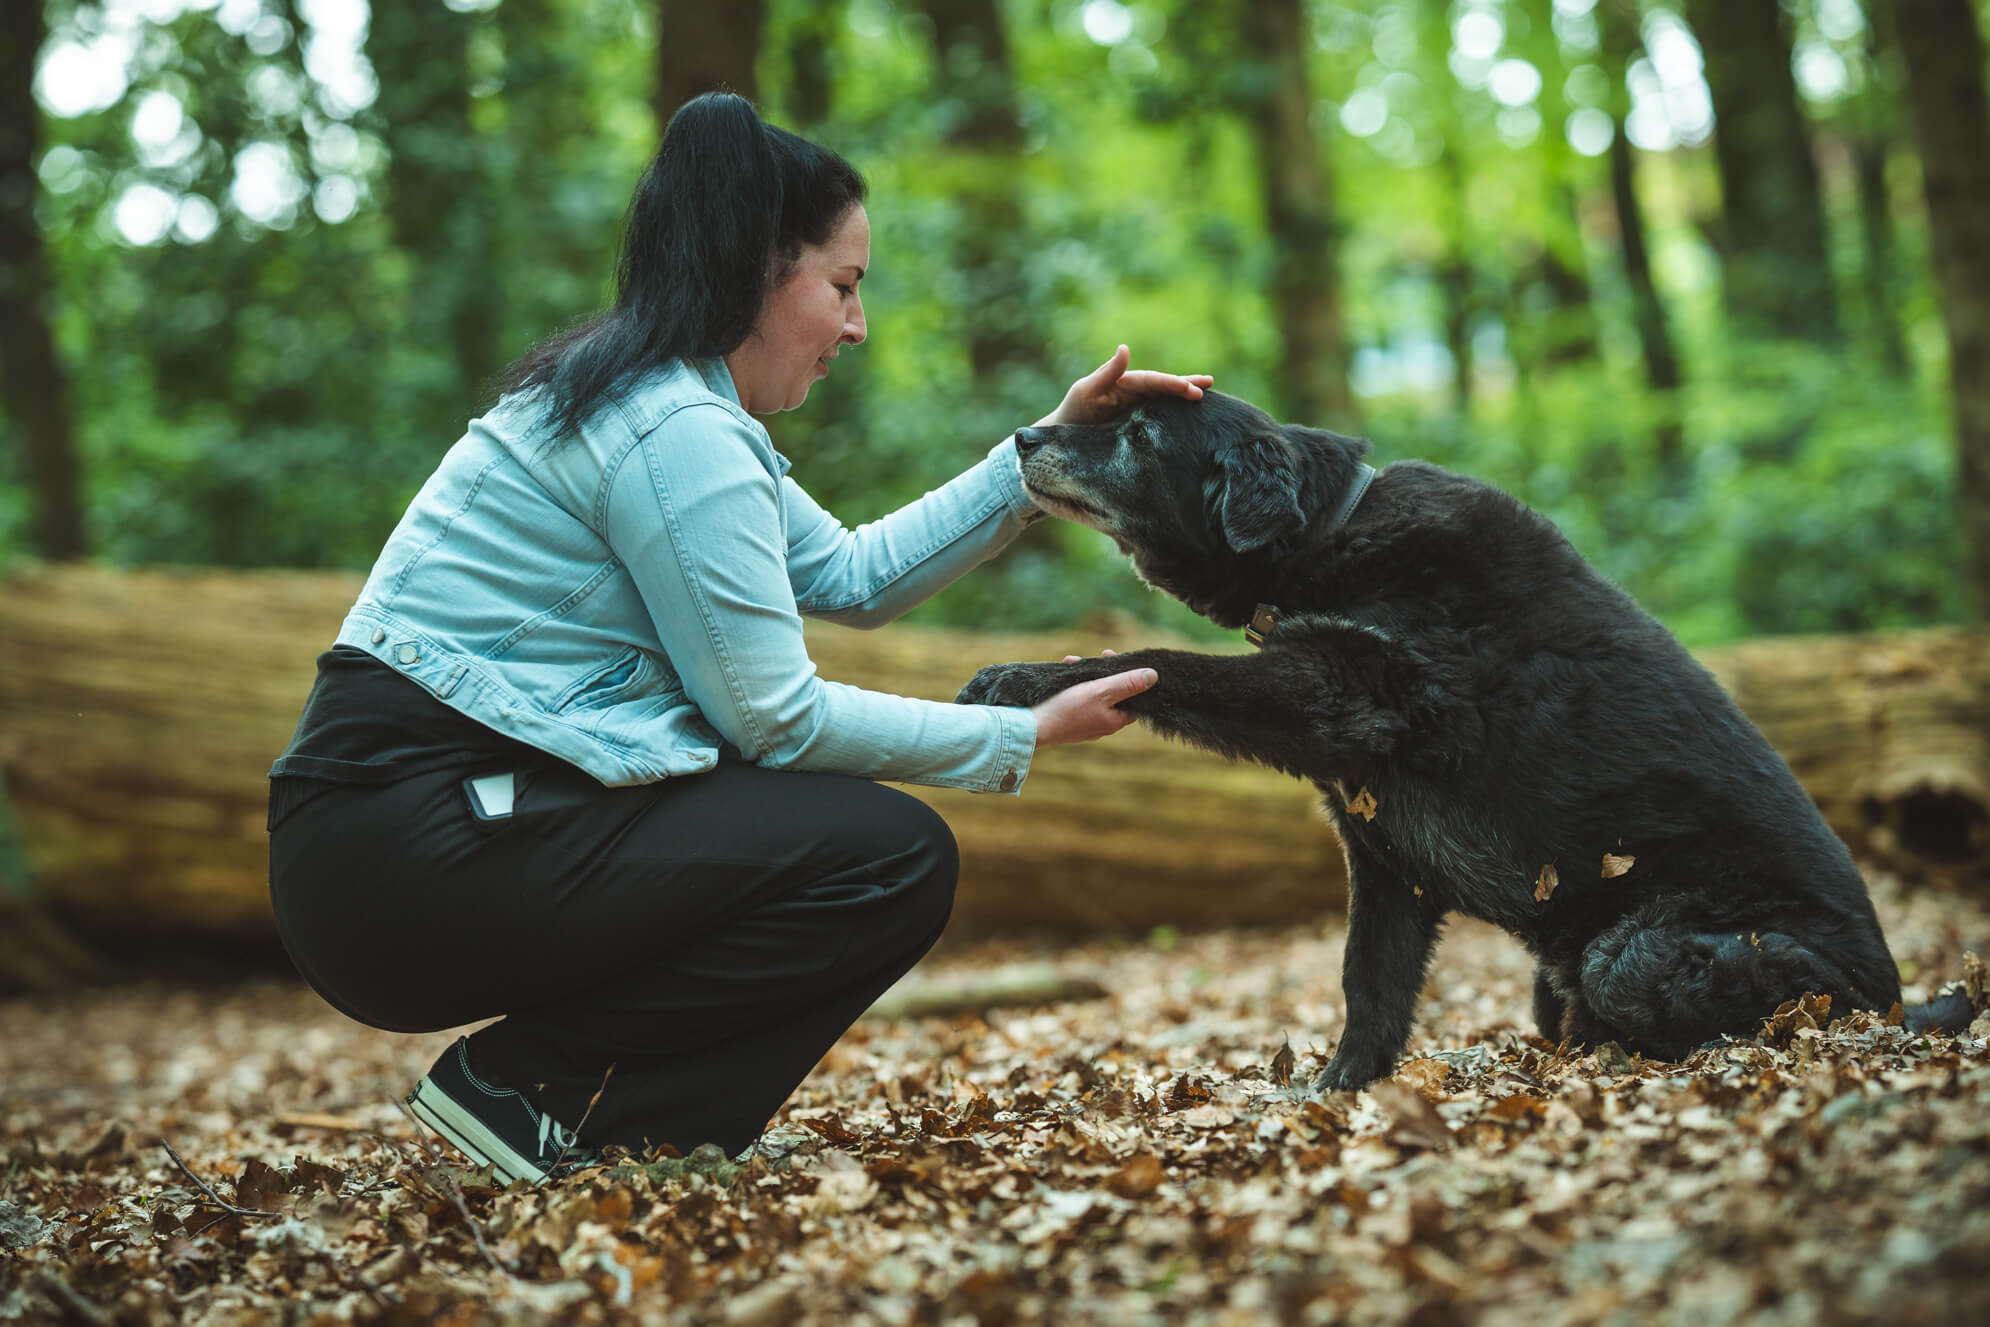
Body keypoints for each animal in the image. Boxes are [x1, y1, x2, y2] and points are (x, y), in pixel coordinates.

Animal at [963, 391, 1974, 1090]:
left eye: (1139, 437)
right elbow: (1368, 982)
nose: (1021, 439)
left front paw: (1023, 681)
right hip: (1556, 976)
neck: (1330, 535)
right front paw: (1341, 1091)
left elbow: (1157, 661)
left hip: (1648, 949)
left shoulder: (1343, 692)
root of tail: (1895, 993)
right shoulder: (1383, 856)